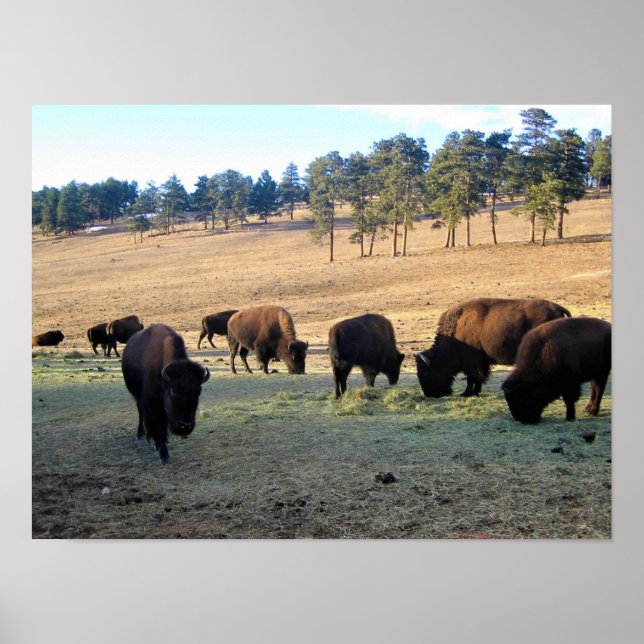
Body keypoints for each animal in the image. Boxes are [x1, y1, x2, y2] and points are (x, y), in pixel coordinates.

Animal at [121, 324, 210, 464]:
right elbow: (159, 426)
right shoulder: (153, 404)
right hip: (138, 398)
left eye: (198, 392)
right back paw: (142, 436)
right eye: (173, 391)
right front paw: (163, 455)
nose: (185, 426)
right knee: (142, 415)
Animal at [414, 298, 571, 397]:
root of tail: (559, 309)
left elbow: (472, 377)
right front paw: (475, 392)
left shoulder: (471, 362)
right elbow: (479, 377)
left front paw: (466, 393)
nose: (429, 394)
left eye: (425, 373)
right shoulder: (481, 362)